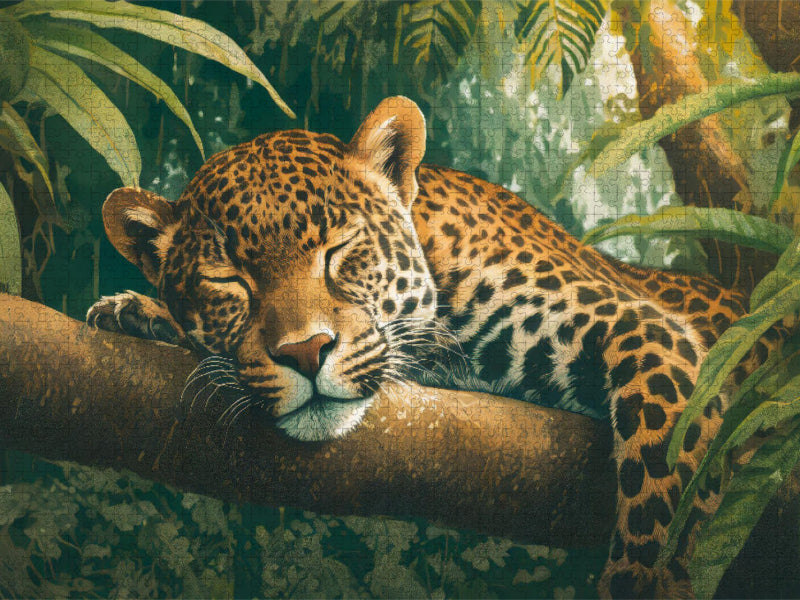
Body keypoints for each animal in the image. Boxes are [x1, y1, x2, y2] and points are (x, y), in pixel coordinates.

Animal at [87, 96, 786, 598]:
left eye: (338, 250)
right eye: (229, 281)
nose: (307, 352)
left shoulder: (642, 324)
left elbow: (663, 488)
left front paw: (647, 580)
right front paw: (136, 312)